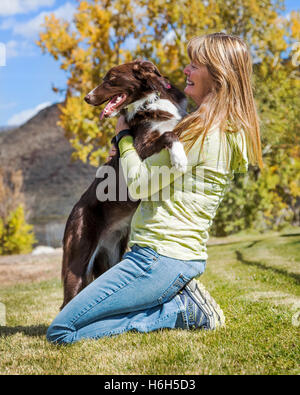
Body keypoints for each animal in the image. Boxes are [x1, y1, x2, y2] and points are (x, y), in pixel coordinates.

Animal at [60, 60, 188, 310]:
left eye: (110, 79)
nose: (87, 98)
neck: (149, 101)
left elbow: (174, 128)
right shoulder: (141, 149)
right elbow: (168, 134)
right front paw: (179, 157)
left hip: (110, 256)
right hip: (78, 258)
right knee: (67, 302)